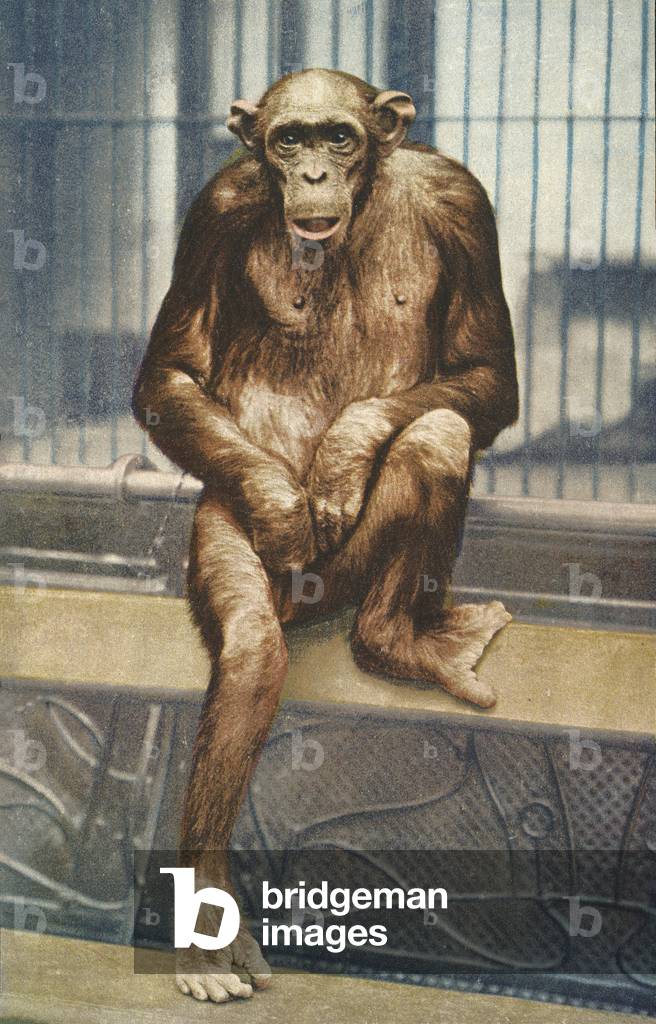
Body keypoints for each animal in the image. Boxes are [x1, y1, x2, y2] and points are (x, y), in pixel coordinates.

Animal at [132, 68, 518, 1003]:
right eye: (288, 140)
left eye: (339, 137)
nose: (310, 173)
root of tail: (316, 605)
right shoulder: (217, 207)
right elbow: (170, 372)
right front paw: (285, 499)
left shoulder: (464, 204)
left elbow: (485, 369)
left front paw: (344, 450)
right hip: (230, 532)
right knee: (250, 649)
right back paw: (210, 935)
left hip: (349, 578)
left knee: (437, 433)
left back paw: (396, 639)